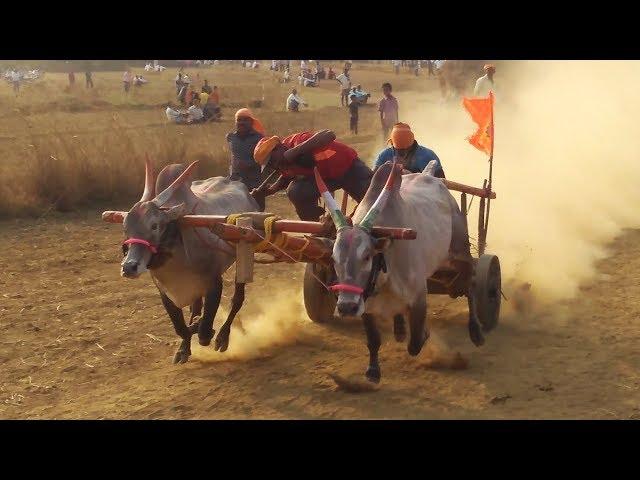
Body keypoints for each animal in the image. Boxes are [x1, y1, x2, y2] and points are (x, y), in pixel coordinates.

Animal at [120, 159, 260, 362]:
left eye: (154, 225)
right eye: (125, 227)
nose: (129, 267)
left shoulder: (213, 282)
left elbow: (203, 333)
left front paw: (206, 329)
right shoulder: (164, 292)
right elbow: (181, 328)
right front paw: (183, 348)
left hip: (244, 256)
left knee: (237, 299)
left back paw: (223, 336)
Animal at [316, 161, 484, 382]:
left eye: (367, 256)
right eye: (333, 259)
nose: (346, 307)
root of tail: (429, 175)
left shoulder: (419, 297)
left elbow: (415, 343)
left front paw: (425, 333)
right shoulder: (365, 305)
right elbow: (373, 340)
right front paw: (373, 370)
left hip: (459, 252)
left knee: (471, 283)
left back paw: (476, 331)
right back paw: (399, 329)